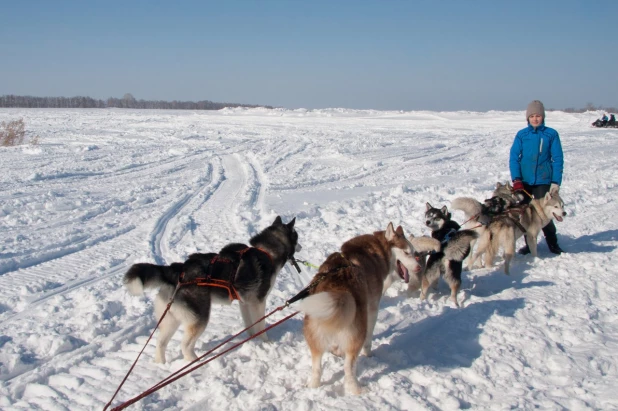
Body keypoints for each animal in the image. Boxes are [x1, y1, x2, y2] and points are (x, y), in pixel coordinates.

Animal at [122, 216, 298, 364]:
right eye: (296, 236)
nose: (301, 244)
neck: (267, 251)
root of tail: (179, 269)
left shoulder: (245, 303)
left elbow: (250, 324)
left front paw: (252, 338)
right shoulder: (258, 302)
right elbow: (260, 325)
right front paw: (265, 341)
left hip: (171, 319)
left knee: (160, 342)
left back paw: (161, 363)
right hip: (199, 318)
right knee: (185, 345)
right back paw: (196, 362)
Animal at [296, 225, 422, 396]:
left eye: (414, 252)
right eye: (406, 252)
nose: (419, 267)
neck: (375, 250)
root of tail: (338, 290)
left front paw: (336, 350)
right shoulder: (373, 309)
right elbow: (369, 338)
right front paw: (368, 353)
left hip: (316, 337)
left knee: (317, 368)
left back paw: (313, 386)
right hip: (356, 336)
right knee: (348, 368)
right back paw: (356, 389)